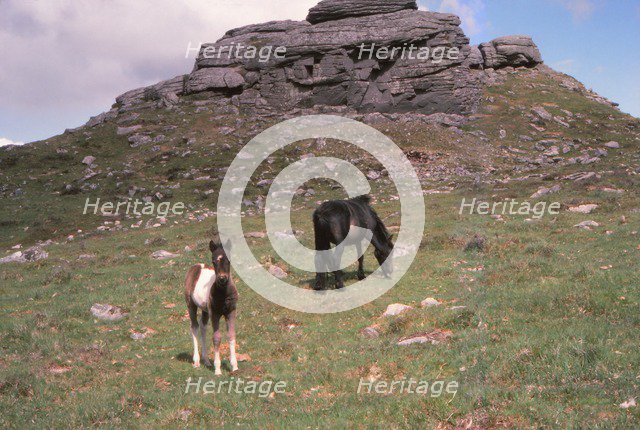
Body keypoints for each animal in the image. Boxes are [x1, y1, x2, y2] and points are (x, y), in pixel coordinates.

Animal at [184, 240, 239, 375]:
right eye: (214, 261)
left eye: (229, 260)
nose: (222, 278)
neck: (224, 294)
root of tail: (196, 266)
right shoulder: (215, 314)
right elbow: (217, 338)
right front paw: (218, 369)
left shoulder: (231, 312)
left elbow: (231, 335)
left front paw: (234, 367)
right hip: (191, 305)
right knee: (194, 326)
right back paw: (197, 361)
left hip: (205, 310)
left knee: (203, 326)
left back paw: (206, 360)